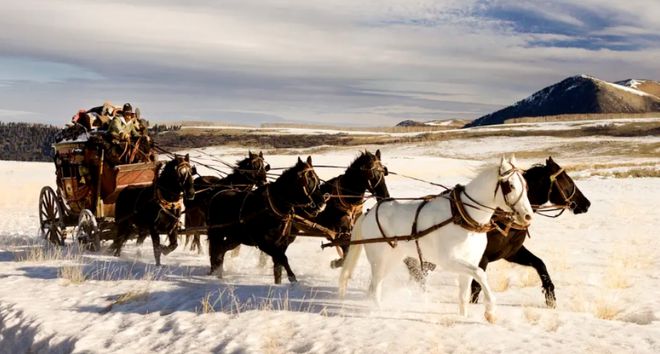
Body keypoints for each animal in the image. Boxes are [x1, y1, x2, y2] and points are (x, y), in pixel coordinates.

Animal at [208, 156, 326, 284]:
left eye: (318, 180)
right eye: (306, 180)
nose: (322, 204)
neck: (272, 208)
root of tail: (217, 194)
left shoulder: (282, 243)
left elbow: (278, 265)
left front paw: (279, 283)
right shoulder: (263, 243)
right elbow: (282, 258)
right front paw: (292, 278)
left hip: (235, 238)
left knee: (222, 251)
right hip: (217, 234)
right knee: (216, 252)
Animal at [338, 156, 532, 322]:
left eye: (525, 185)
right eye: (510, 185)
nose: (528, 216)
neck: (463, 216)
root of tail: (368, 213)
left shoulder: (470, 260)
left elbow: (464, 293)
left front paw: (464, 316)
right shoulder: (450, 261)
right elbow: (481, 274)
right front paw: (490, 311)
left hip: (393, 259)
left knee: (374, 287)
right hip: (379, 260)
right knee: (375, 287)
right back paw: (379, 311)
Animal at [404, 157, 592, 306]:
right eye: (567, 181)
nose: (586, 203)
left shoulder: (512, 253)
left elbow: (540, 264)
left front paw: (550, 297)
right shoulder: (482, 258)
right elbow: (476, 288)